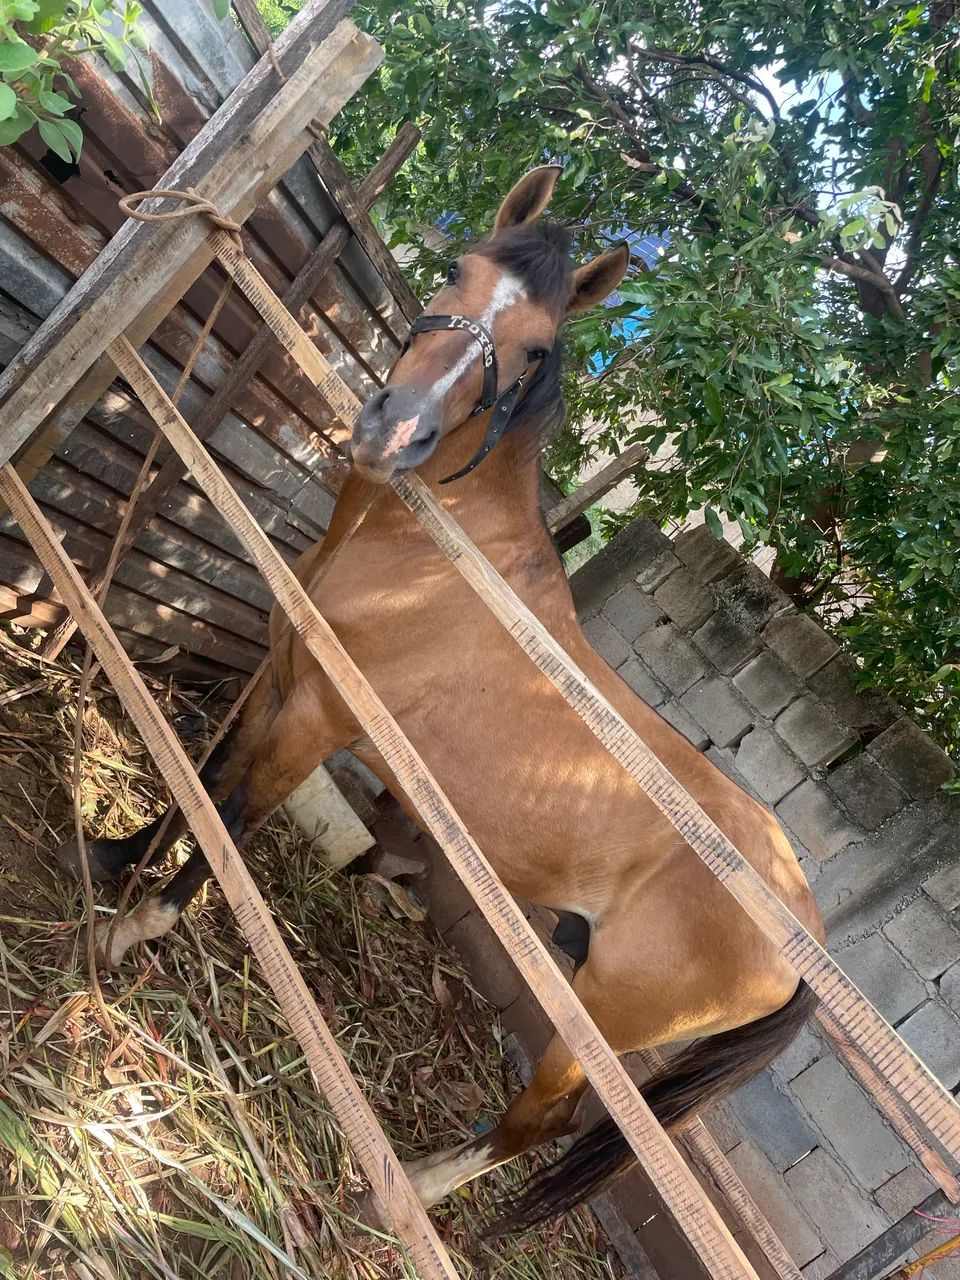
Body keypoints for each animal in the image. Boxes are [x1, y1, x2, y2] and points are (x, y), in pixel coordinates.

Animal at [55, 165, 823, 1232]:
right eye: (459, 270)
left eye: (536, 348)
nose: (392, 431)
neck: (431, 556)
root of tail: (803, 938)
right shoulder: (282, 678)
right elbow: (204, 782)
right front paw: (114, 858)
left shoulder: (318, 720)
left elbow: (236, 819)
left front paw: (130, 932)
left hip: (596, 1025)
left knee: (542, 1123)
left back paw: (403, 1194)